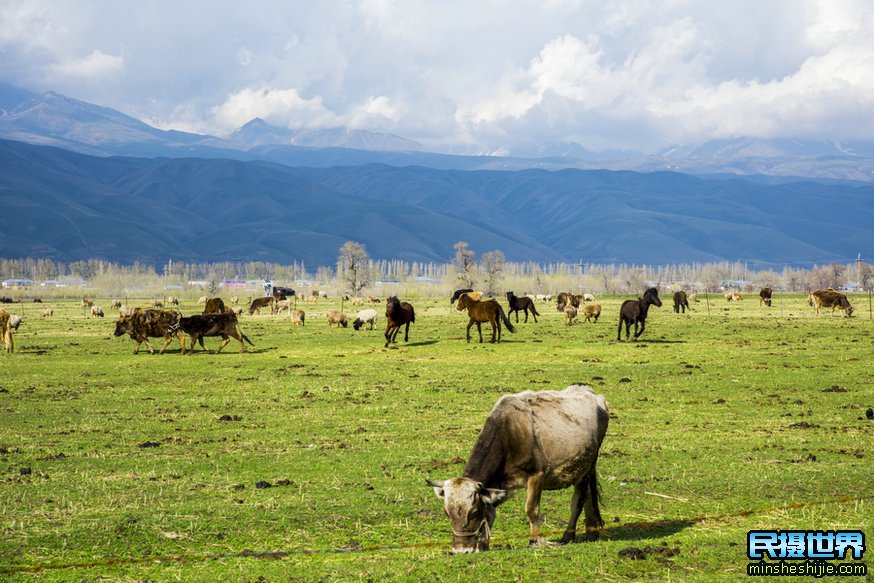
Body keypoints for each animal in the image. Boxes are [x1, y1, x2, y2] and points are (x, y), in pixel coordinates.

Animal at [428, 386, 608, 556]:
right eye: (447, 513)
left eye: (473, 513)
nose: (461, 550)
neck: (508, 432)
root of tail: (595, 396)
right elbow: (490, 512)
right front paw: (484, 545)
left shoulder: (536, 474)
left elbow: (531, 509)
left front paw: (536, 541)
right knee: (588, 497)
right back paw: (591, 533)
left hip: (587, 466)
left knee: (578, 501)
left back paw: (568, 535)